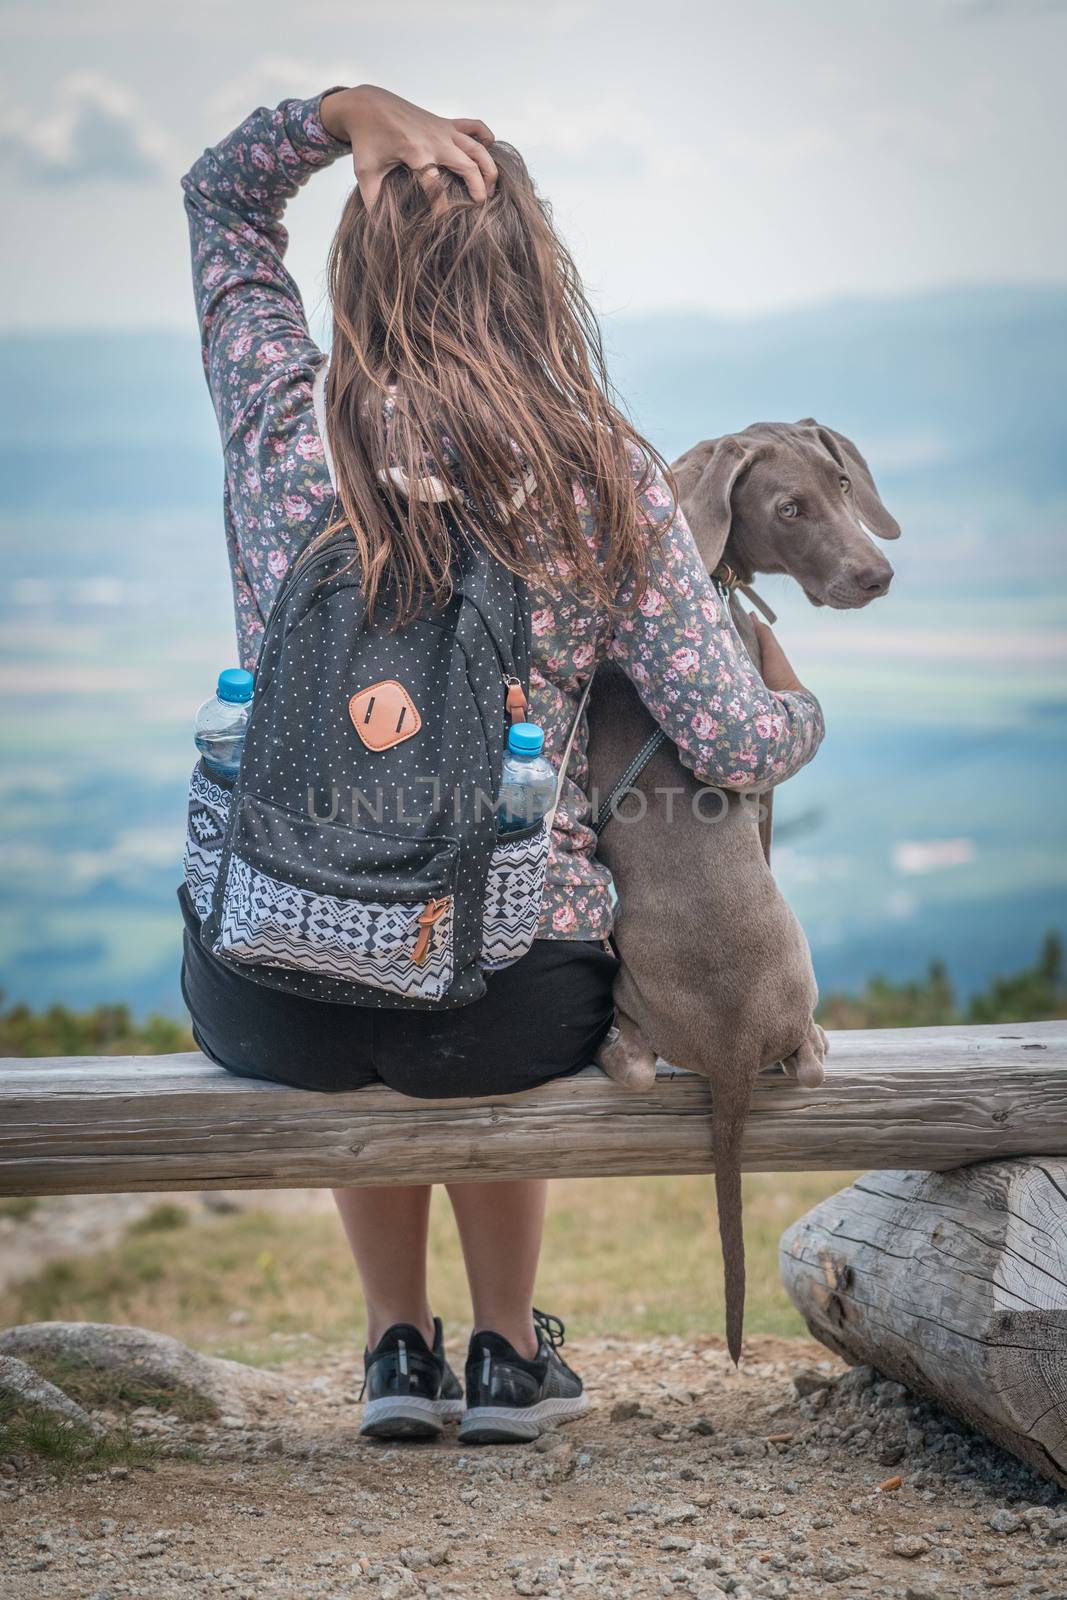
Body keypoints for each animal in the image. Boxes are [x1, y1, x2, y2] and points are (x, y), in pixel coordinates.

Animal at [588, 422, 895, 1363]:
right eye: (788, 509)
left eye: (841, 483)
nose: (876, 575)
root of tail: (728, 1053)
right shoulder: (760, 773)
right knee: (793, 1063)